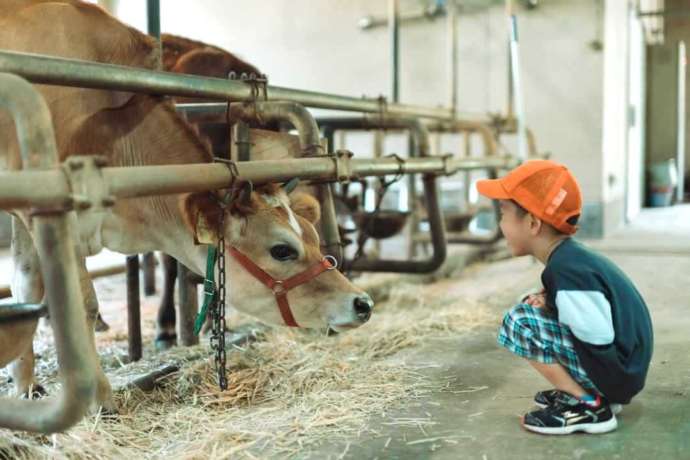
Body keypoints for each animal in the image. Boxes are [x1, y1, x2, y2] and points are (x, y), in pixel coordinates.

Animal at [0, 0, 370, 410]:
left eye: (313, 237)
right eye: (282, 250)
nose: (363, 303)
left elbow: (25, 285)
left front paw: (25, 386)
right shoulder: (48, 208)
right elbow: (80, 301)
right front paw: (98, 397)